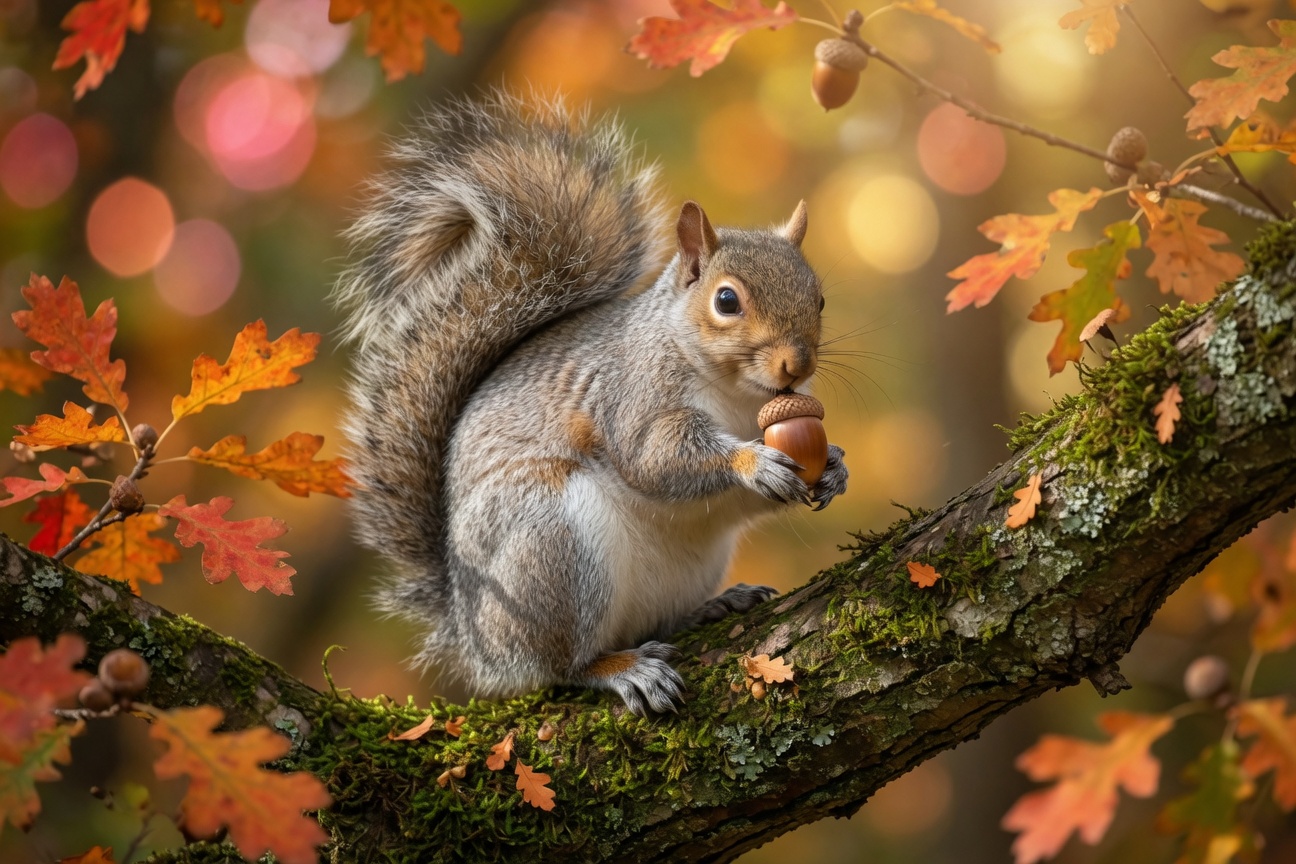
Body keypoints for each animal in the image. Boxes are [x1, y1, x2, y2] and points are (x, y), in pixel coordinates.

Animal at [334, 93, 848, 715]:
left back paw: (713, 606)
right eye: (726, 300)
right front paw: (753, 462)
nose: (796, 366)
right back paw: (622, 669)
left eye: (819, 299)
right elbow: (655, 459)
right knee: (560, 665)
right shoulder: (631, 397)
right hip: (551, 547)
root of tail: (472, 635)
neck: (737, 395)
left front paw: (835, 468)